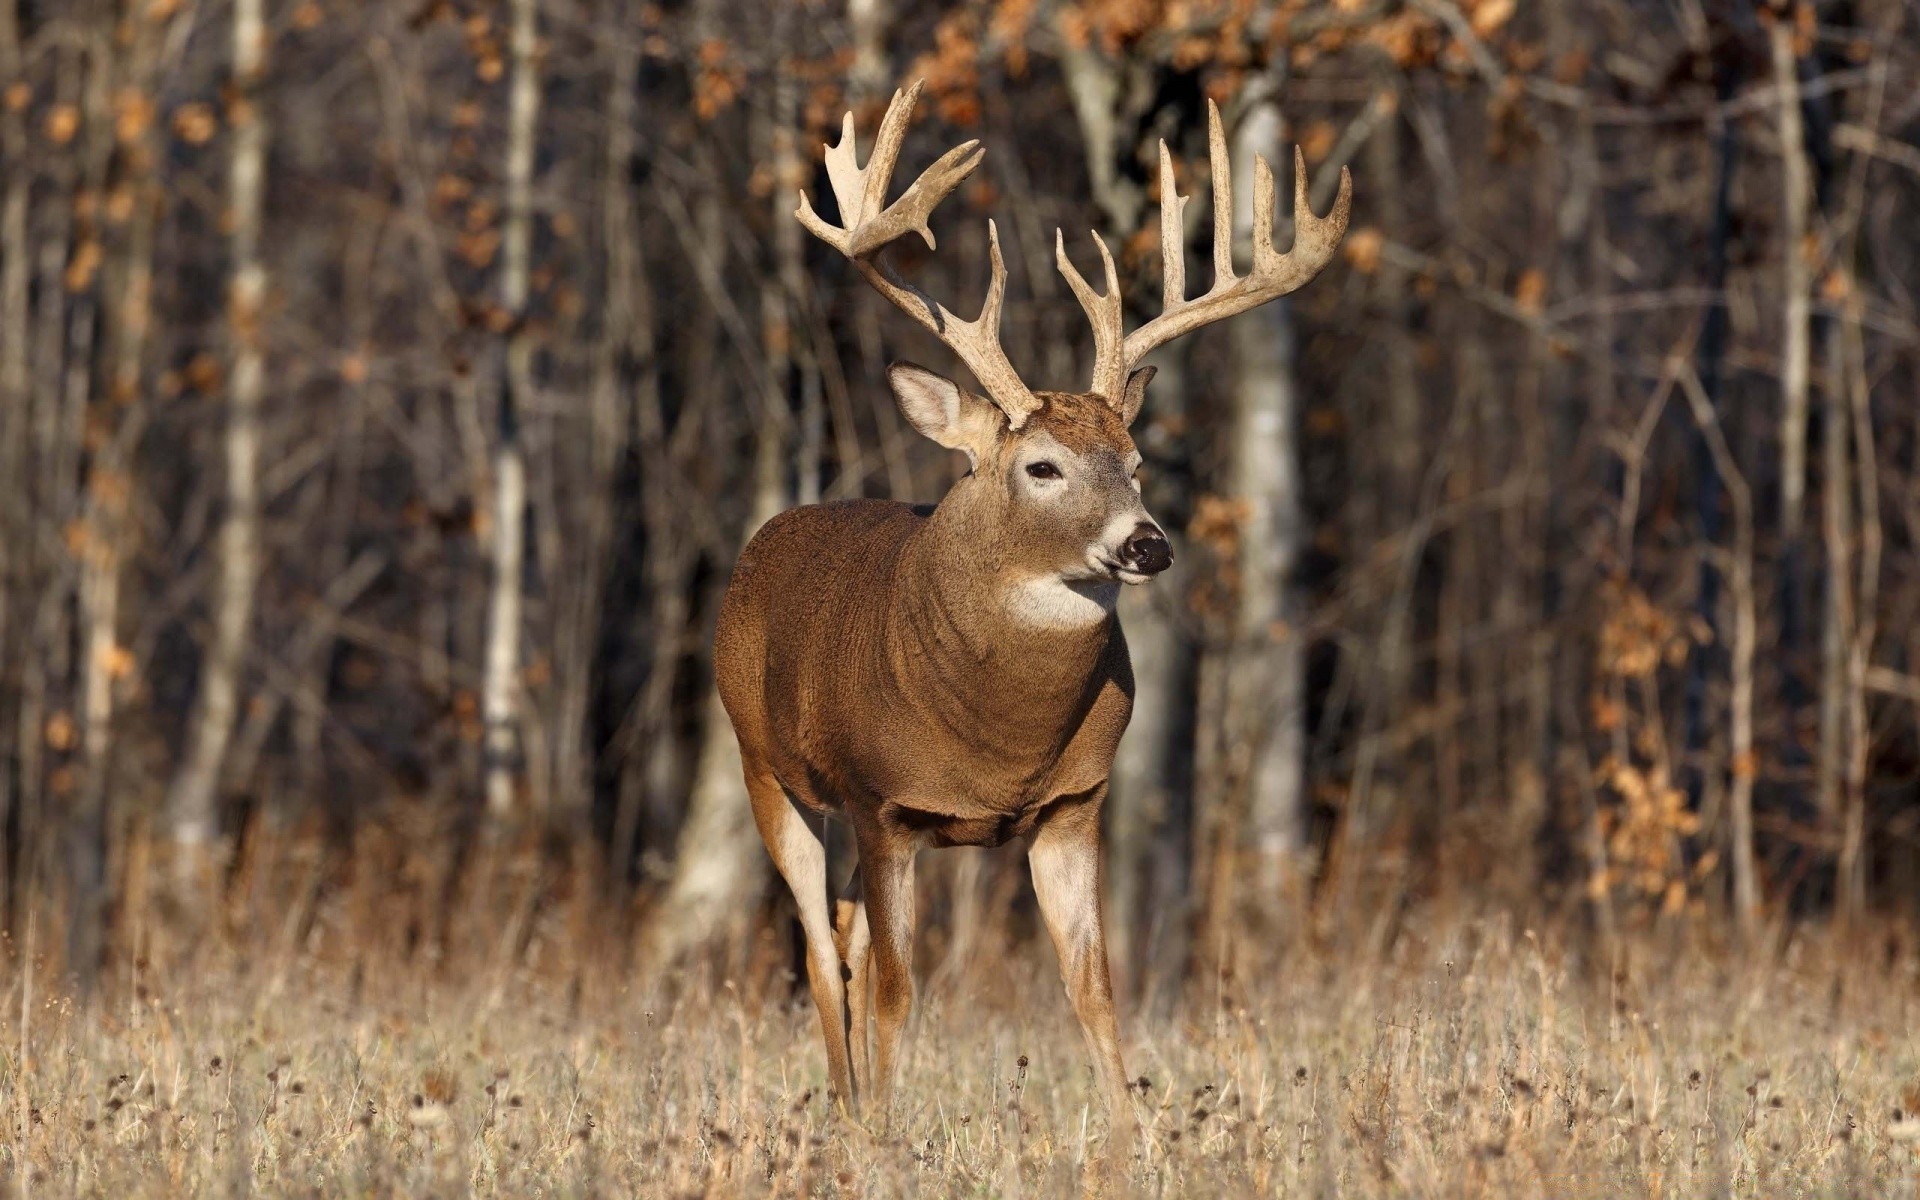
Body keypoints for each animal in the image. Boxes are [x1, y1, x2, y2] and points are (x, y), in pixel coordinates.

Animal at [714, 79, 1359, 1128]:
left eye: (1134, 463)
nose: (1148, 544)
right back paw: (850, 1112)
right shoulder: (881, 801)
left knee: (844, 937)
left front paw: (1132, 1137)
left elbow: (1093, 988)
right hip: (766, 768)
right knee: (818, 950)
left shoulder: (1073, 804)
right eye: (1042, 467)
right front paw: (886, 1134)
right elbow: (898, 990)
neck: (999, 739)